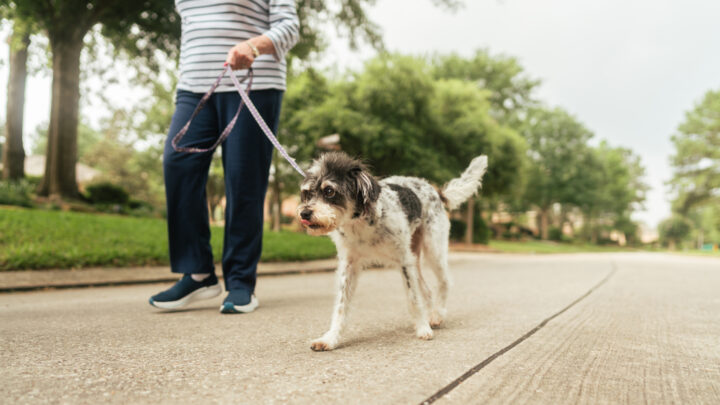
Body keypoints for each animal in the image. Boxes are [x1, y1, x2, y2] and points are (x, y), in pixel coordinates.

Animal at [296, 150, 486, 348]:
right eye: (307, 193)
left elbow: (413, 298)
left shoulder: (404, 261)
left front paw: (422, 329)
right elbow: (341, 305)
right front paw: (331, 338)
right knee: (426, 290)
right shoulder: (349, 265)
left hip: (433, 250)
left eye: (329, 191)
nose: (304, 213)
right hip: (415, 258)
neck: (361, 224)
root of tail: (435, 191)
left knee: (445, 282)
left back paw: (437, 315)